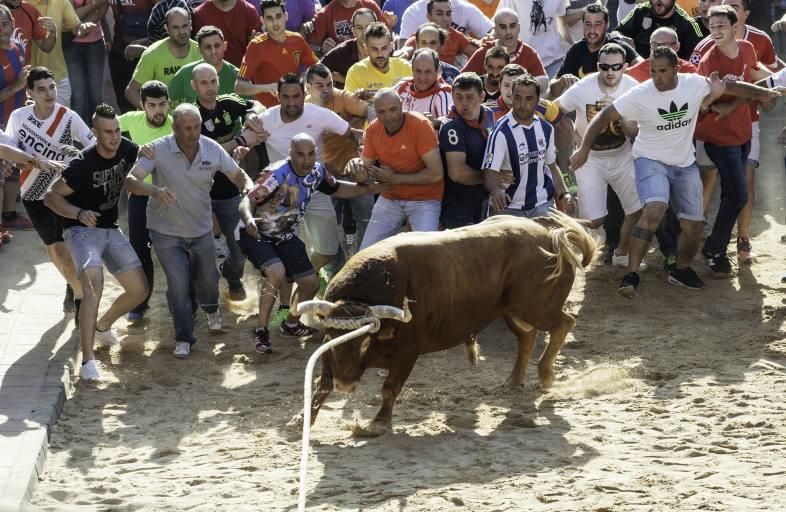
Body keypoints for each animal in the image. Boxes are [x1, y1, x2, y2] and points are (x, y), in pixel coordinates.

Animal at [304, 210, 592, 438]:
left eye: (364, 342)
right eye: (332, 338)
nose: (345, 384)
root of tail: (549, 234)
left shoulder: (407, 352)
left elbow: (389, 388)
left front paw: (378, 424)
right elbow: (321, 383)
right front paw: (303, 420)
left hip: (535, 307)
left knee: (564, 323)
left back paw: (545, 374)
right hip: (513, 311)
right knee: (527, 337)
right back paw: (513, 381)